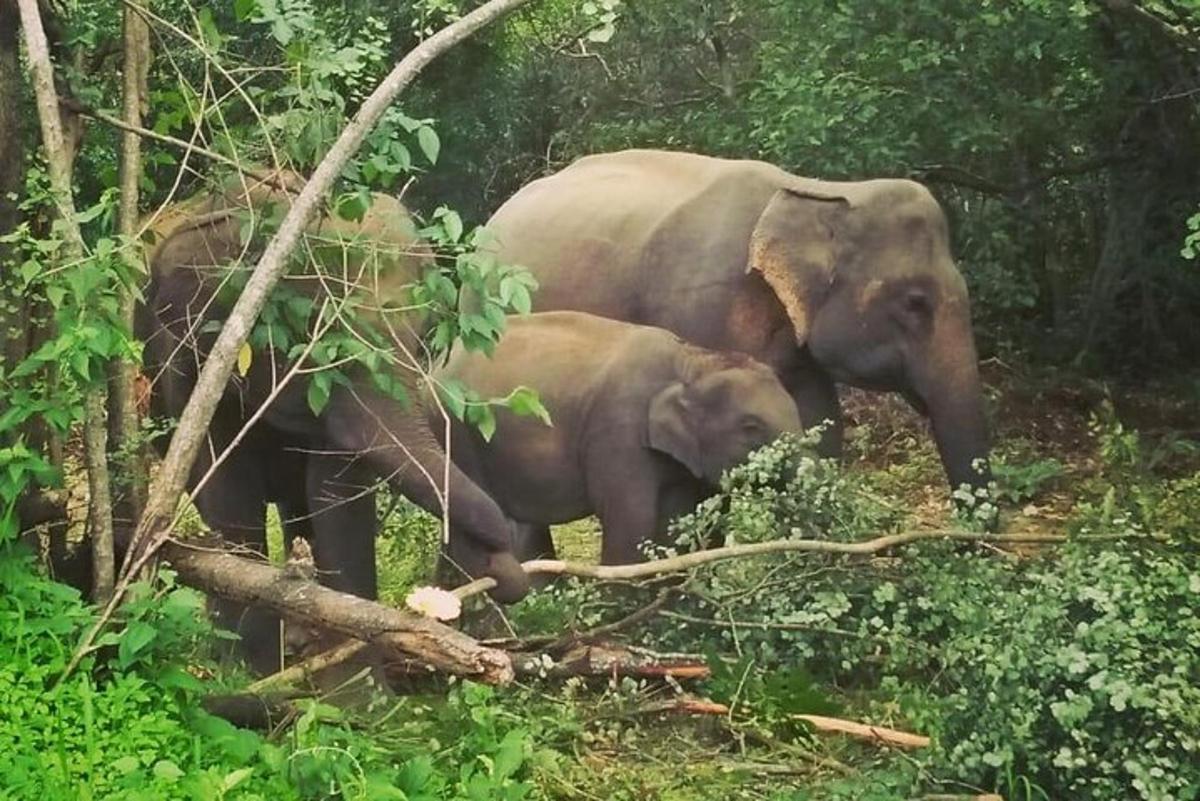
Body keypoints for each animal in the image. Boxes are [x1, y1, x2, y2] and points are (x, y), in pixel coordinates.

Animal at [138, 178, 528, 671]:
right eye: (313, 333)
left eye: (422, 334)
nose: (500, 563)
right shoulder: (191, 368)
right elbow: (231, 496)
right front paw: (257, 670)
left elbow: (336, 498)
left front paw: (353, 671)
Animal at [427, 309, 801, 565]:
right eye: (751, 427)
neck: (693, 360)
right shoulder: (619, 432)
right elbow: (631, 522)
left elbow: (675, 526)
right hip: (458, 433)